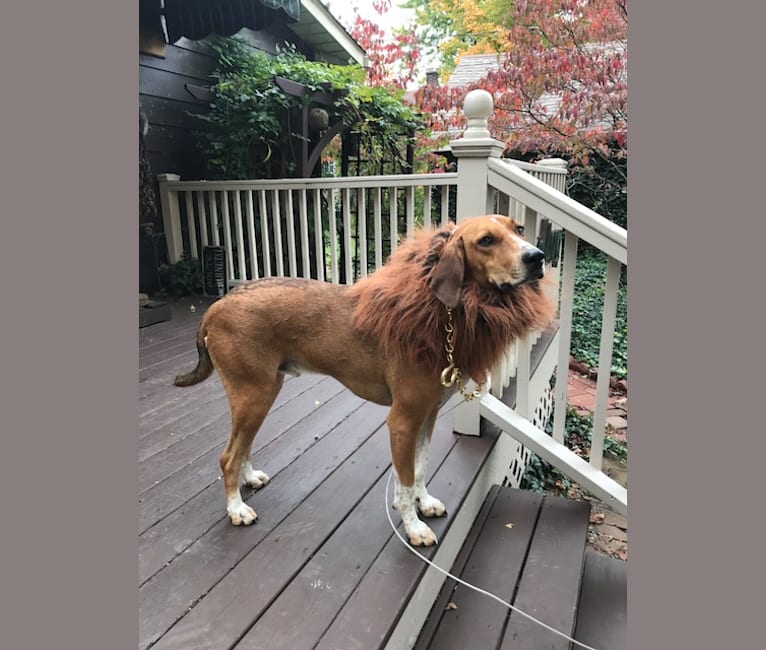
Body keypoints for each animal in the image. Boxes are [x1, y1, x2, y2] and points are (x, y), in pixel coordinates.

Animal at [175, 215, 560, 544]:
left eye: (518, 228)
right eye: (486, 241)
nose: (537, 257)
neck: (441, 316)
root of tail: (218, 305)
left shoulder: (428, 416)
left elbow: (421, 469)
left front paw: (424, 502)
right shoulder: (402, 422)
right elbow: (404, 482)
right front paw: (413, 526)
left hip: (260, 394)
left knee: (241, 447)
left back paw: (249, 478)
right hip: (255, 394)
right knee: (228, 456)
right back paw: (236, 508)